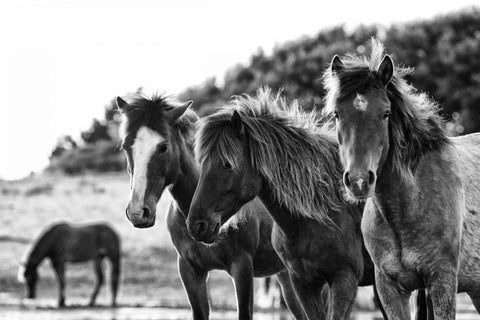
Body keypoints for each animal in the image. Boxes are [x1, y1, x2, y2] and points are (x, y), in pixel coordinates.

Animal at [115, 94, 308, 318]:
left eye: (163, 147)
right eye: (125, 146)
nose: (138, 212)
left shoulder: (242, 267)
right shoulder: (190, 271)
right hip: (287, 279)